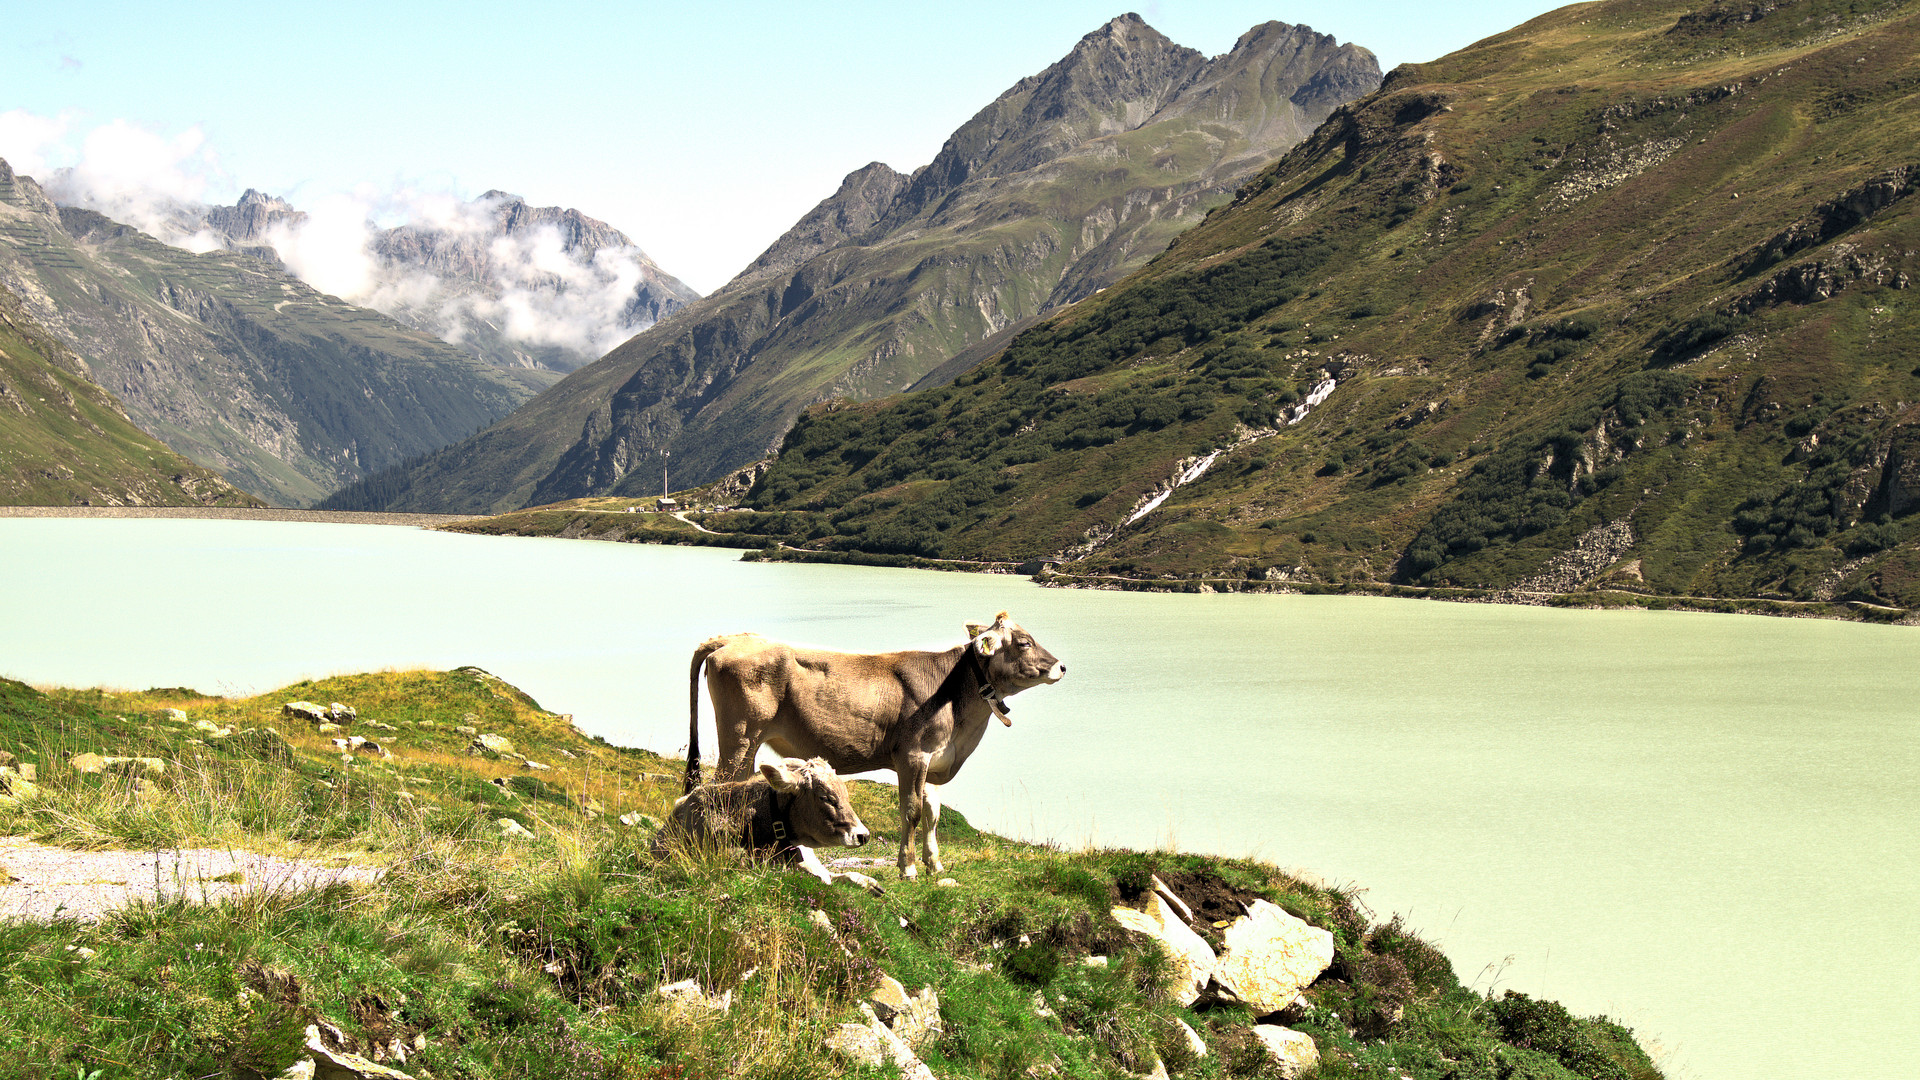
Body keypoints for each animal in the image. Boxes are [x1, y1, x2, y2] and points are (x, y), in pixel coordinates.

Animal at [687, 607, 1067, 876]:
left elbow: (933, 812)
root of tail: (732, 639)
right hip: (740, 737)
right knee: (721, 785)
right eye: (1025, 642)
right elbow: (912, 811)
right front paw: (908, 867)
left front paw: (934, 864)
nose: (1062, 666)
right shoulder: (913, 755)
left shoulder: (934, 758)